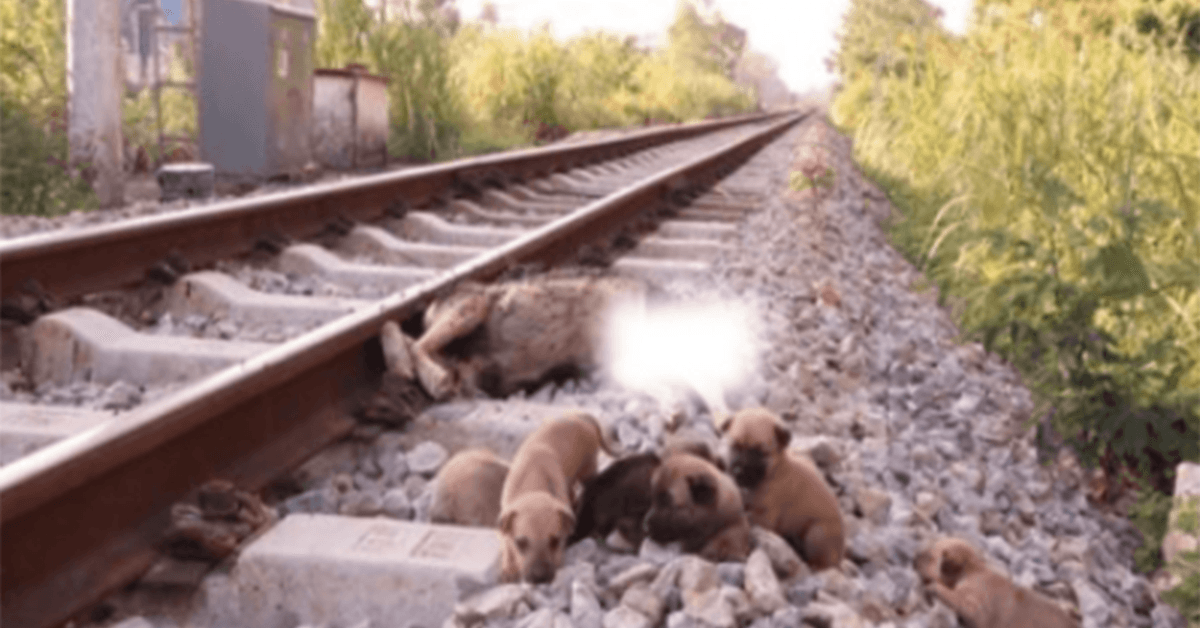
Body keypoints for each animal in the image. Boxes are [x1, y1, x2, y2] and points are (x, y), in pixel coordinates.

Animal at [720, 405, 844, 571]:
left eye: (759, 452)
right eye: (734, 446)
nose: (737, 471)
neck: (774, 470)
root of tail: (839, 555)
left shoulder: (765, 516)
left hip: (816, 533)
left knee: (823, 563)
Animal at [912, 535, 1084, 628]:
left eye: (931, 557)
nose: (914, 558)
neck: (974, 570)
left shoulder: (975, 606)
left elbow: (947, 593)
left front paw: (932, 588)